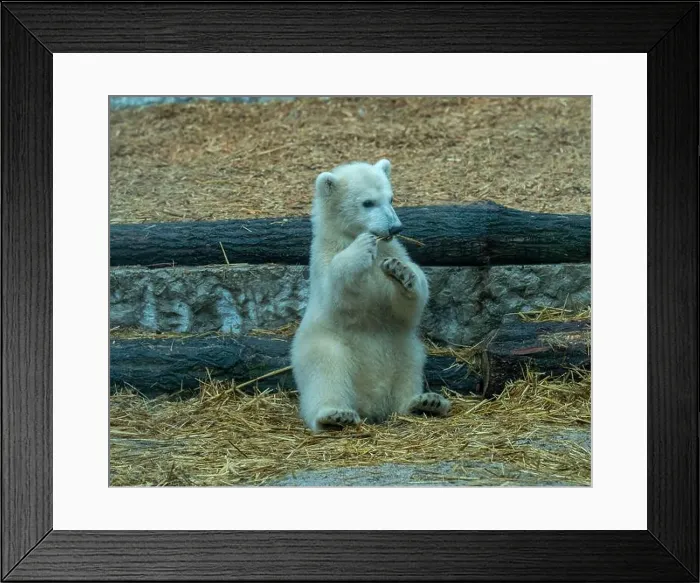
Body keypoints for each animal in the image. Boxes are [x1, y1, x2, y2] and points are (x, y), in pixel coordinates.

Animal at [290, 159, 451, 432]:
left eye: (391, 198)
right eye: (368, 202)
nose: (395, 227)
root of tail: (371, 404)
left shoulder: (392, 249)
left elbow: (407, 307)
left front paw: (400, 271)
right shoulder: (324, 260)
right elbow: (340, 298)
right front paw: (360, 249)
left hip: (401, 346)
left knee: (411, 365)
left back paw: (423, 402)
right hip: (324, 345)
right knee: (326, 368)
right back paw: (333, 415)